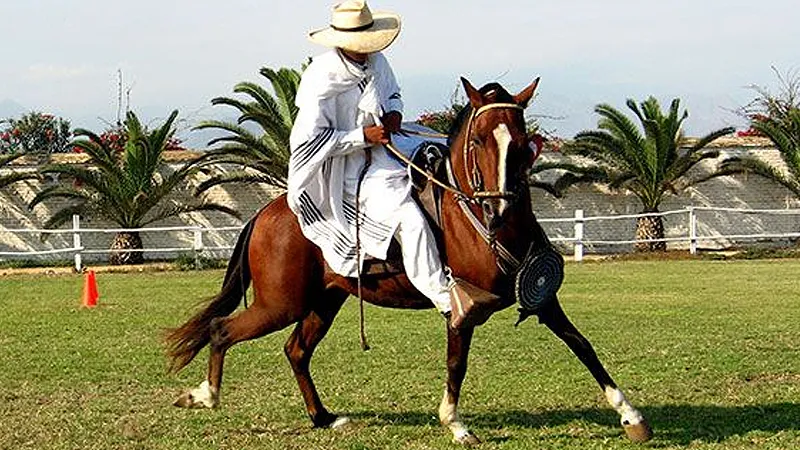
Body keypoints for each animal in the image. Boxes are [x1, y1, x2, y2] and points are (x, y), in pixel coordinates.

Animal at [165, 77, 652, 445]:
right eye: (478, 140)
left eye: (521, 144)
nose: (497, 208)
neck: (479, 223)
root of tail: (268, 212)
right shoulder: (462, 309)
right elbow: (457, 363)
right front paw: (456, 424)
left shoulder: (541, 297)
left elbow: (582, 345)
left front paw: (630, 415)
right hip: (279, 304)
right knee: (221, 330)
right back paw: (204, 396)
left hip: (324, 301)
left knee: (296, 350)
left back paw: (323, 417)